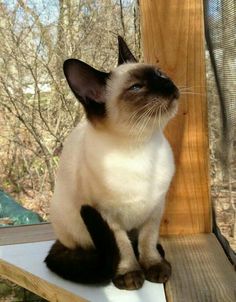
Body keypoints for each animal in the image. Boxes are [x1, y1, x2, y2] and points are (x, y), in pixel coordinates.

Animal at [45, 36, 180, 290]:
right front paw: (130, 275)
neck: (140, 148)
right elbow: (123, 249)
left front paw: (154, 267)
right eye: (137, 87)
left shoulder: (155, 208)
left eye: (161, 75)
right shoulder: (108, 216)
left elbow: (147, 242)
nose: (169, 86)